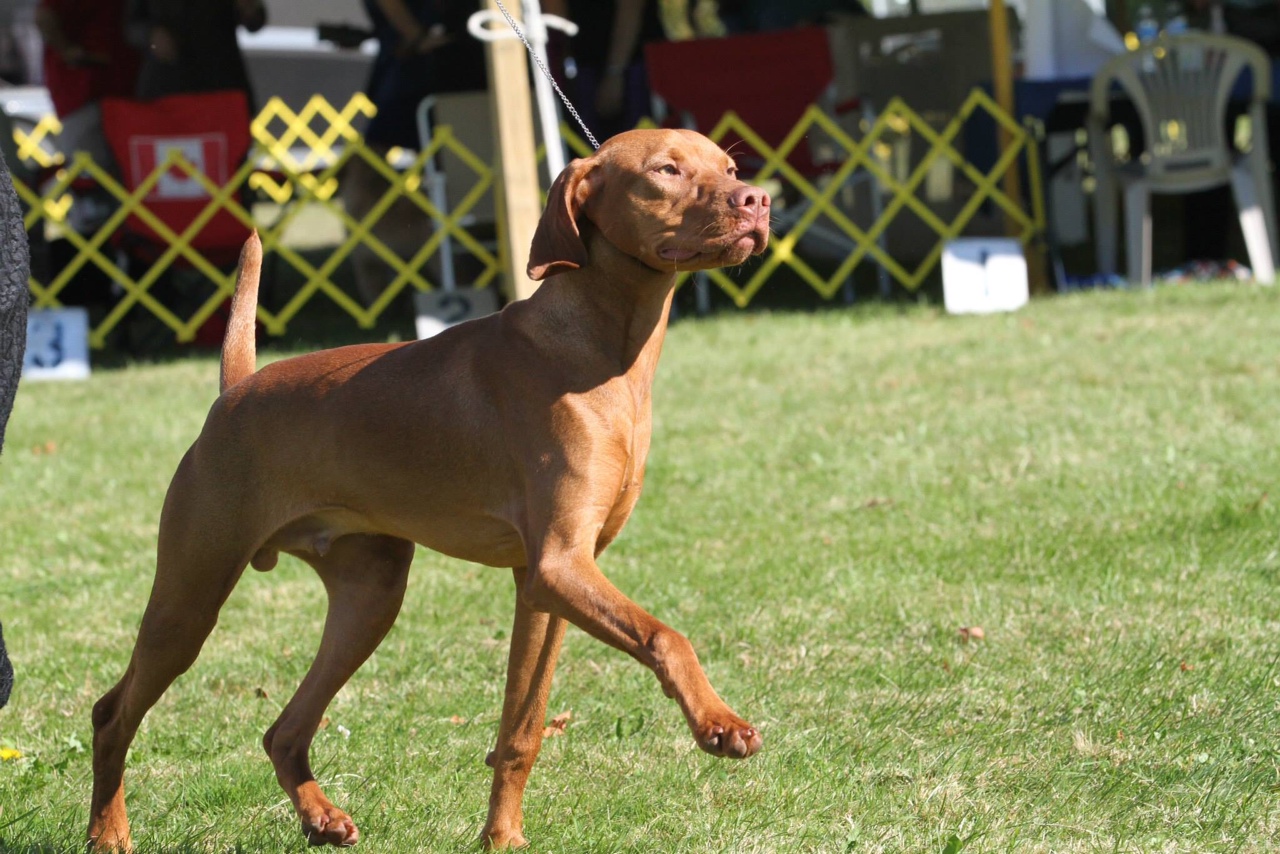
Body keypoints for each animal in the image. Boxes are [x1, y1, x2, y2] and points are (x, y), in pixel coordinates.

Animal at [90, 128, 773, 854]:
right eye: (665, 170)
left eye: (729, 167)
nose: (758, 199)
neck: (603, 347)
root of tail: (238, 389)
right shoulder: (559, 565)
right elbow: (667, 636)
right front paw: (718, 724)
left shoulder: (549, 584)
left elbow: (521, 730)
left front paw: (501, 837)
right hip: (189, 599)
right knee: (113, 712)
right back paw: (109, 832)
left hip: (371, 595)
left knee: (285, 730)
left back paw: (320, 816)